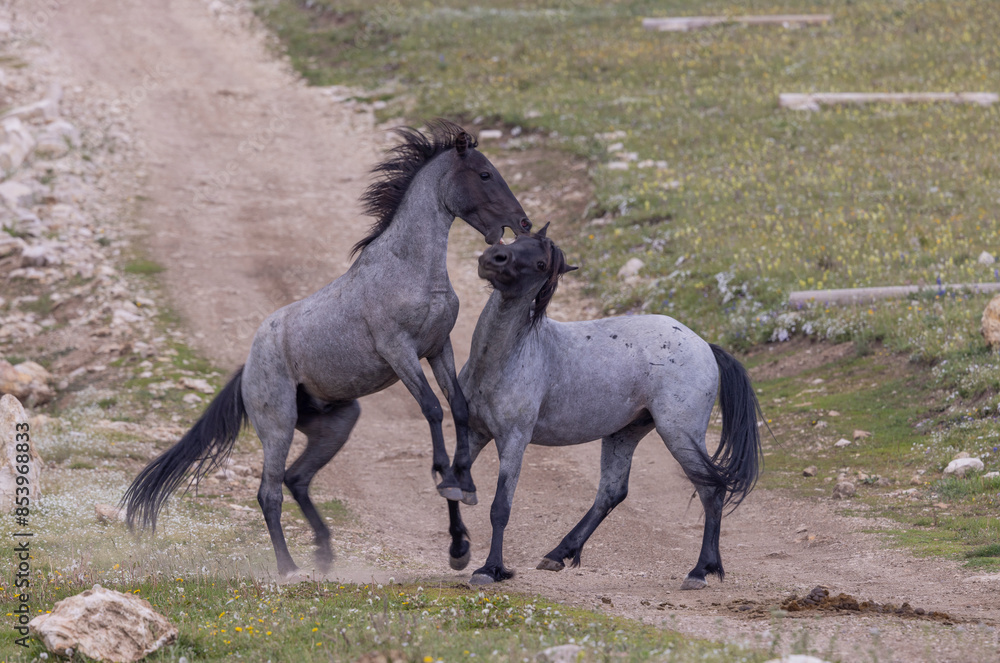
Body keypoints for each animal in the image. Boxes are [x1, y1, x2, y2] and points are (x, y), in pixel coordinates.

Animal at [122, 120, 531, 578]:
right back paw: (289, 569)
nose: (522, 221)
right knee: (269, 492)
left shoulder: (437, 348)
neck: (412, 270)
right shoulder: (398, 350)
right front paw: (445, 476)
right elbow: (431, 408)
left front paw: (462, 508)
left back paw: (324, 553)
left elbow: (457, 407)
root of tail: (247, 368)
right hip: (278, 425)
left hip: (337, 423)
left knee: (296, 479)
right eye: (484, 174)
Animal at [446, 226, 764, 588]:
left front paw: (490, 569)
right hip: (624, 434)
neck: (507, 358)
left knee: (711, 490)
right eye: (515, 240)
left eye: (541, 263)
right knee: (612, 492)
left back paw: (700, 571)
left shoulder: (514, 440)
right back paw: (558, 554)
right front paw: (459, 554)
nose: (493, 259)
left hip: (680, 435)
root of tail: (705, 346)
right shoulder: (473, 432)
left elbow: (500, 507)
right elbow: (453, 486)